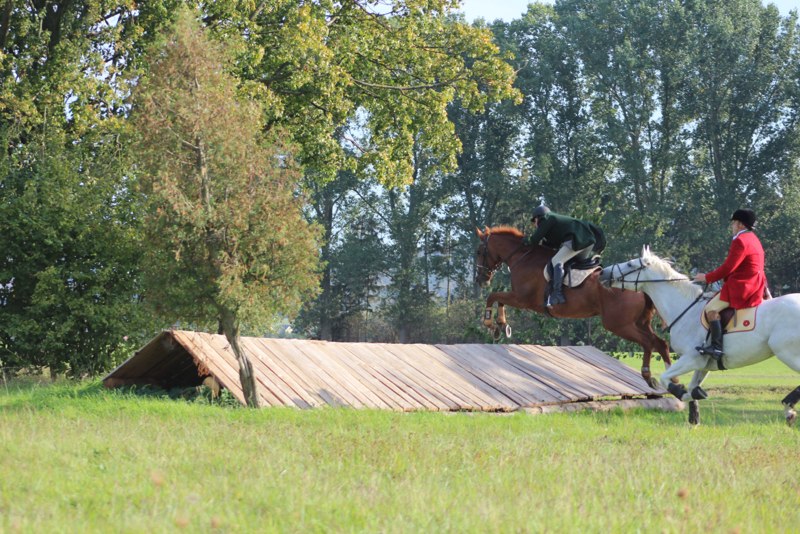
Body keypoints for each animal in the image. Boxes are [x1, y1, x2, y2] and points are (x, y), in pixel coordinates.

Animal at [475, 226, 672, 388]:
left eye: (479, 252)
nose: (480, 280)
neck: (523, 256)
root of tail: (640, 285)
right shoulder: (517, 298)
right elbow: (499, 299)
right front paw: (501, 326)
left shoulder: (522, 299)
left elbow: (493, 296)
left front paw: (490, 323)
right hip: (639, 322)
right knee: (660, 343)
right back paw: (671, 381)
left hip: (618, 324)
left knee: (648, 343)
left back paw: (649, 376)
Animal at [600, 246, 800, 426]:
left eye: (630, 264)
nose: (602, 272)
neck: (686, 309)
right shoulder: (703, 364)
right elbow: (692, 388)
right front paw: (694, 411)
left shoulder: (691, 358)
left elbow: (666, 379)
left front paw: (680, 391)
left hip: (787, 353)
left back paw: (788, 407)